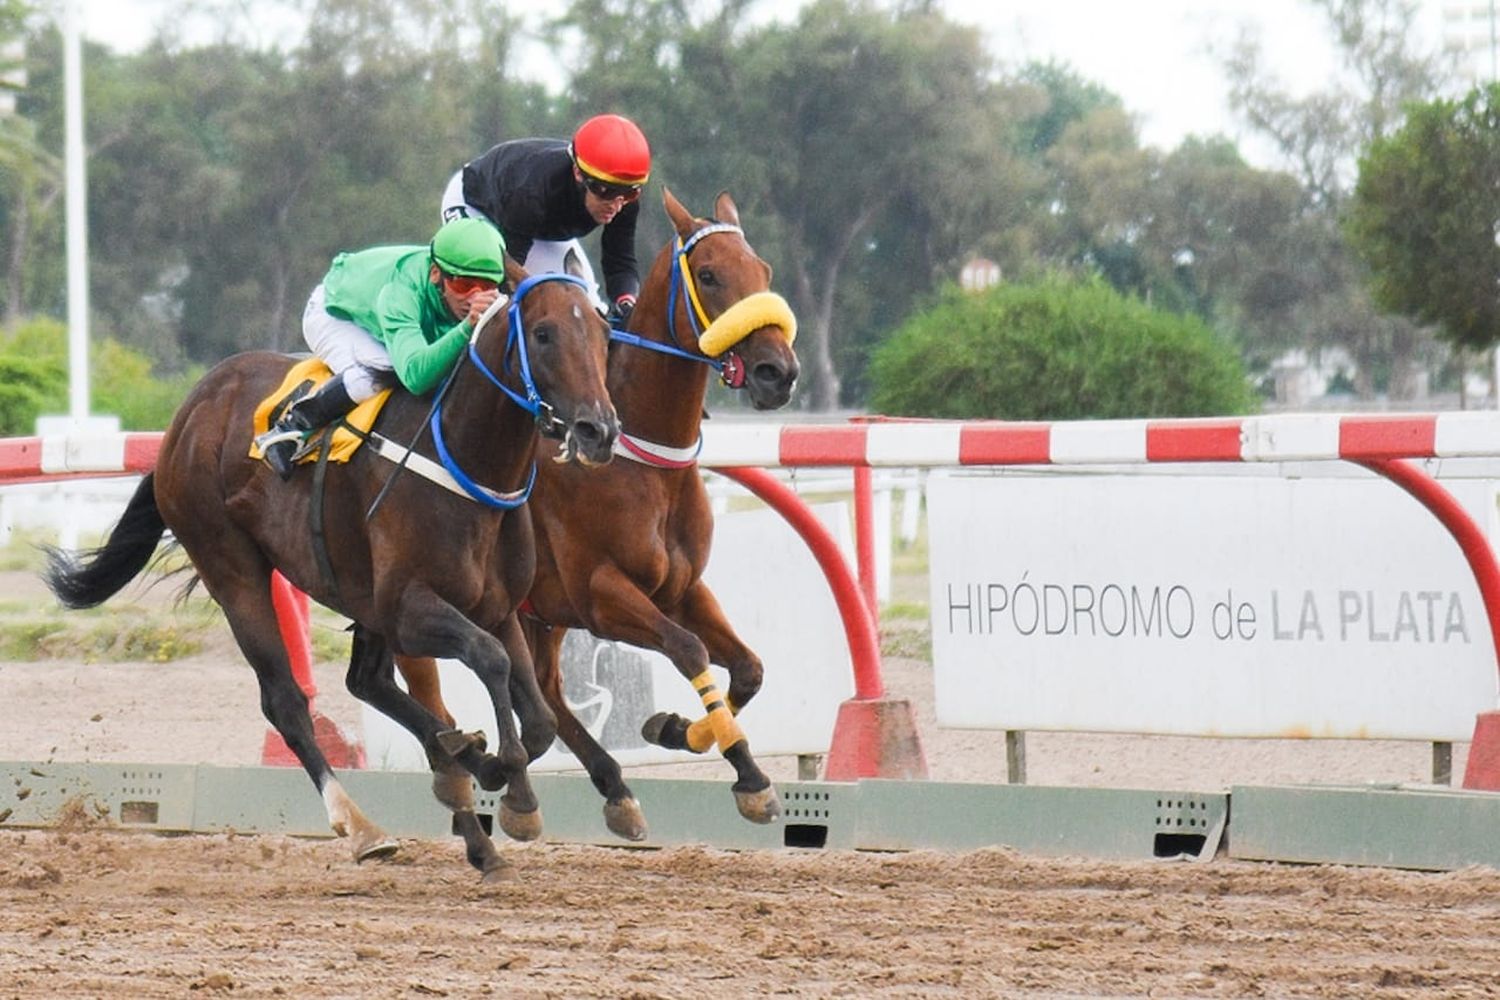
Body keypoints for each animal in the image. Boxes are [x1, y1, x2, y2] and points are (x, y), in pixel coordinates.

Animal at [42, 256, 615, 875]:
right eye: (543, 333)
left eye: (603, 331)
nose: (598, 430)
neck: (464, 460)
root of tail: (188, 413)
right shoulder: (409, 608)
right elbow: (490, 662)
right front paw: (509, 789)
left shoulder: (496, 605)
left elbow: (536, 716)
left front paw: (484, 767)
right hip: (233, 568)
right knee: (286, 702)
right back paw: (362, 826)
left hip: (359, 597)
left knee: (367, 680)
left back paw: (462, 795)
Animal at [396, 185, 798, 839]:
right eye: (709, 275)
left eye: (762, 271)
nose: (778, 373)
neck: (644, 458)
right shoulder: (602, 593)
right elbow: (689, 649)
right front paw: (750, 777)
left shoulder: (681, 587)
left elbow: (749, 667)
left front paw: (683, 732)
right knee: (434, 681)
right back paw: (464, 769)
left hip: (537, 614)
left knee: (549, 692)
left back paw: (609, 787)